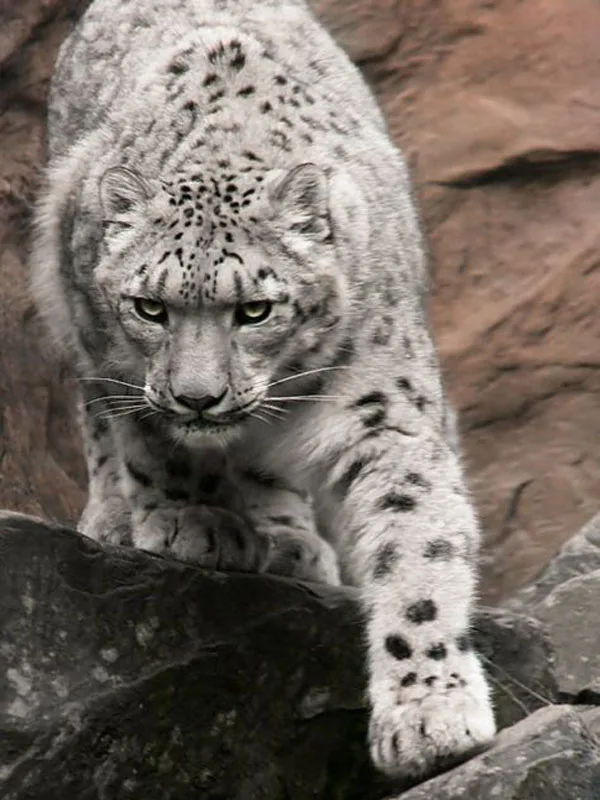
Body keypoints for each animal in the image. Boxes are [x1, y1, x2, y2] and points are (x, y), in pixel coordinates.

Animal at [31, 0, 496, 779]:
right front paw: (191, 521)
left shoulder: (384, 413)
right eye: (149, 307)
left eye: (254, 310)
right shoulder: (113, 349)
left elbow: (417, 545)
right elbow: (150, 439)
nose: (197, 398)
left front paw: (429, 710)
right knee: (98, 417)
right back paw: (124, 518)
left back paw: (289, 538)